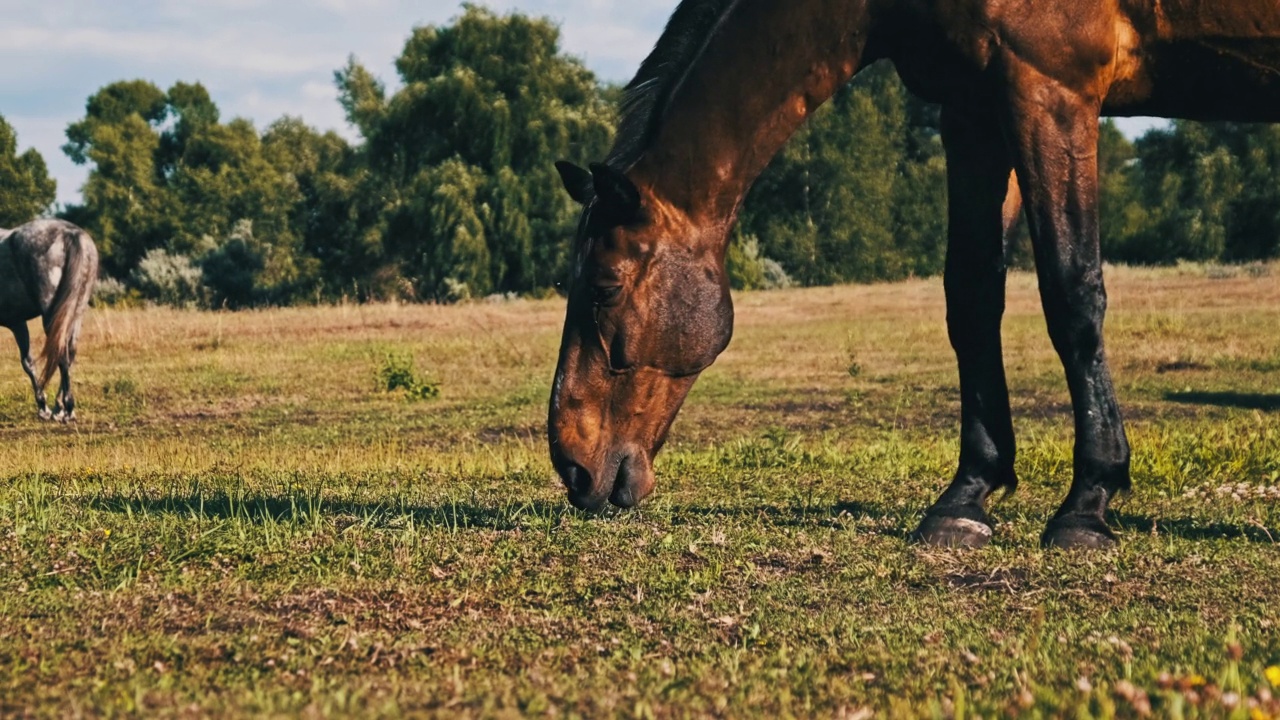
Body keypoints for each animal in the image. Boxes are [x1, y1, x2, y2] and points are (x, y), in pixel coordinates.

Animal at [552, 0, 1280, 545]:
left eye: (605, 285)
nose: (573, 464)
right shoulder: (975, 108)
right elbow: (972, 299)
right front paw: (966, 497)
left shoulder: (1050, 89)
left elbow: (1071, 292)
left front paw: (1087, 503)